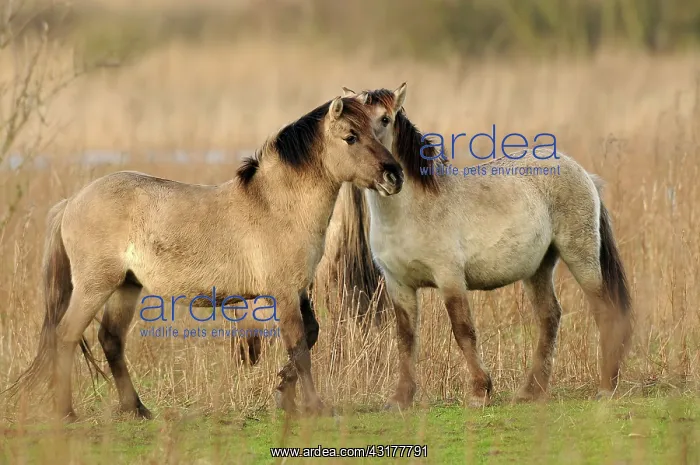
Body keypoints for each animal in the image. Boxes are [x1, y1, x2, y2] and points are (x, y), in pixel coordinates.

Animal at [7, 95, 404, 421]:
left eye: (377, 129)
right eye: (350, 136)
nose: (395, 175)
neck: (276, 206)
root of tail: (71, 202)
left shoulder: (299, 291)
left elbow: (310, 336)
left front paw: (283, 391)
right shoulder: (285, 294)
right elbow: (299, 347)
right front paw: (314, 406)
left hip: (126, 287)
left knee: (110, 340)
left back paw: (136, 409)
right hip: (95, 287)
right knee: (66, 337)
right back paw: (66, 413)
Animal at [340, 83, 632, 408]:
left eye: (385, 119)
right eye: (352, 129)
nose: (390, 178)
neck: (410, 211)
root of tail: (584, 174)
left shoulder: (450, 278)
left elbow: (463, 331)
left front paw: (480, 392)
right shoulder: (398, 285)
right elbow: (406, 339)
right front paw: (400, 399)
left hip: (581, 257)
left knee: (605, 312)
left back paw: (606, 386)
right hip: (539, 268)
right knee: (549, 317)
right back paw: (531, 391)